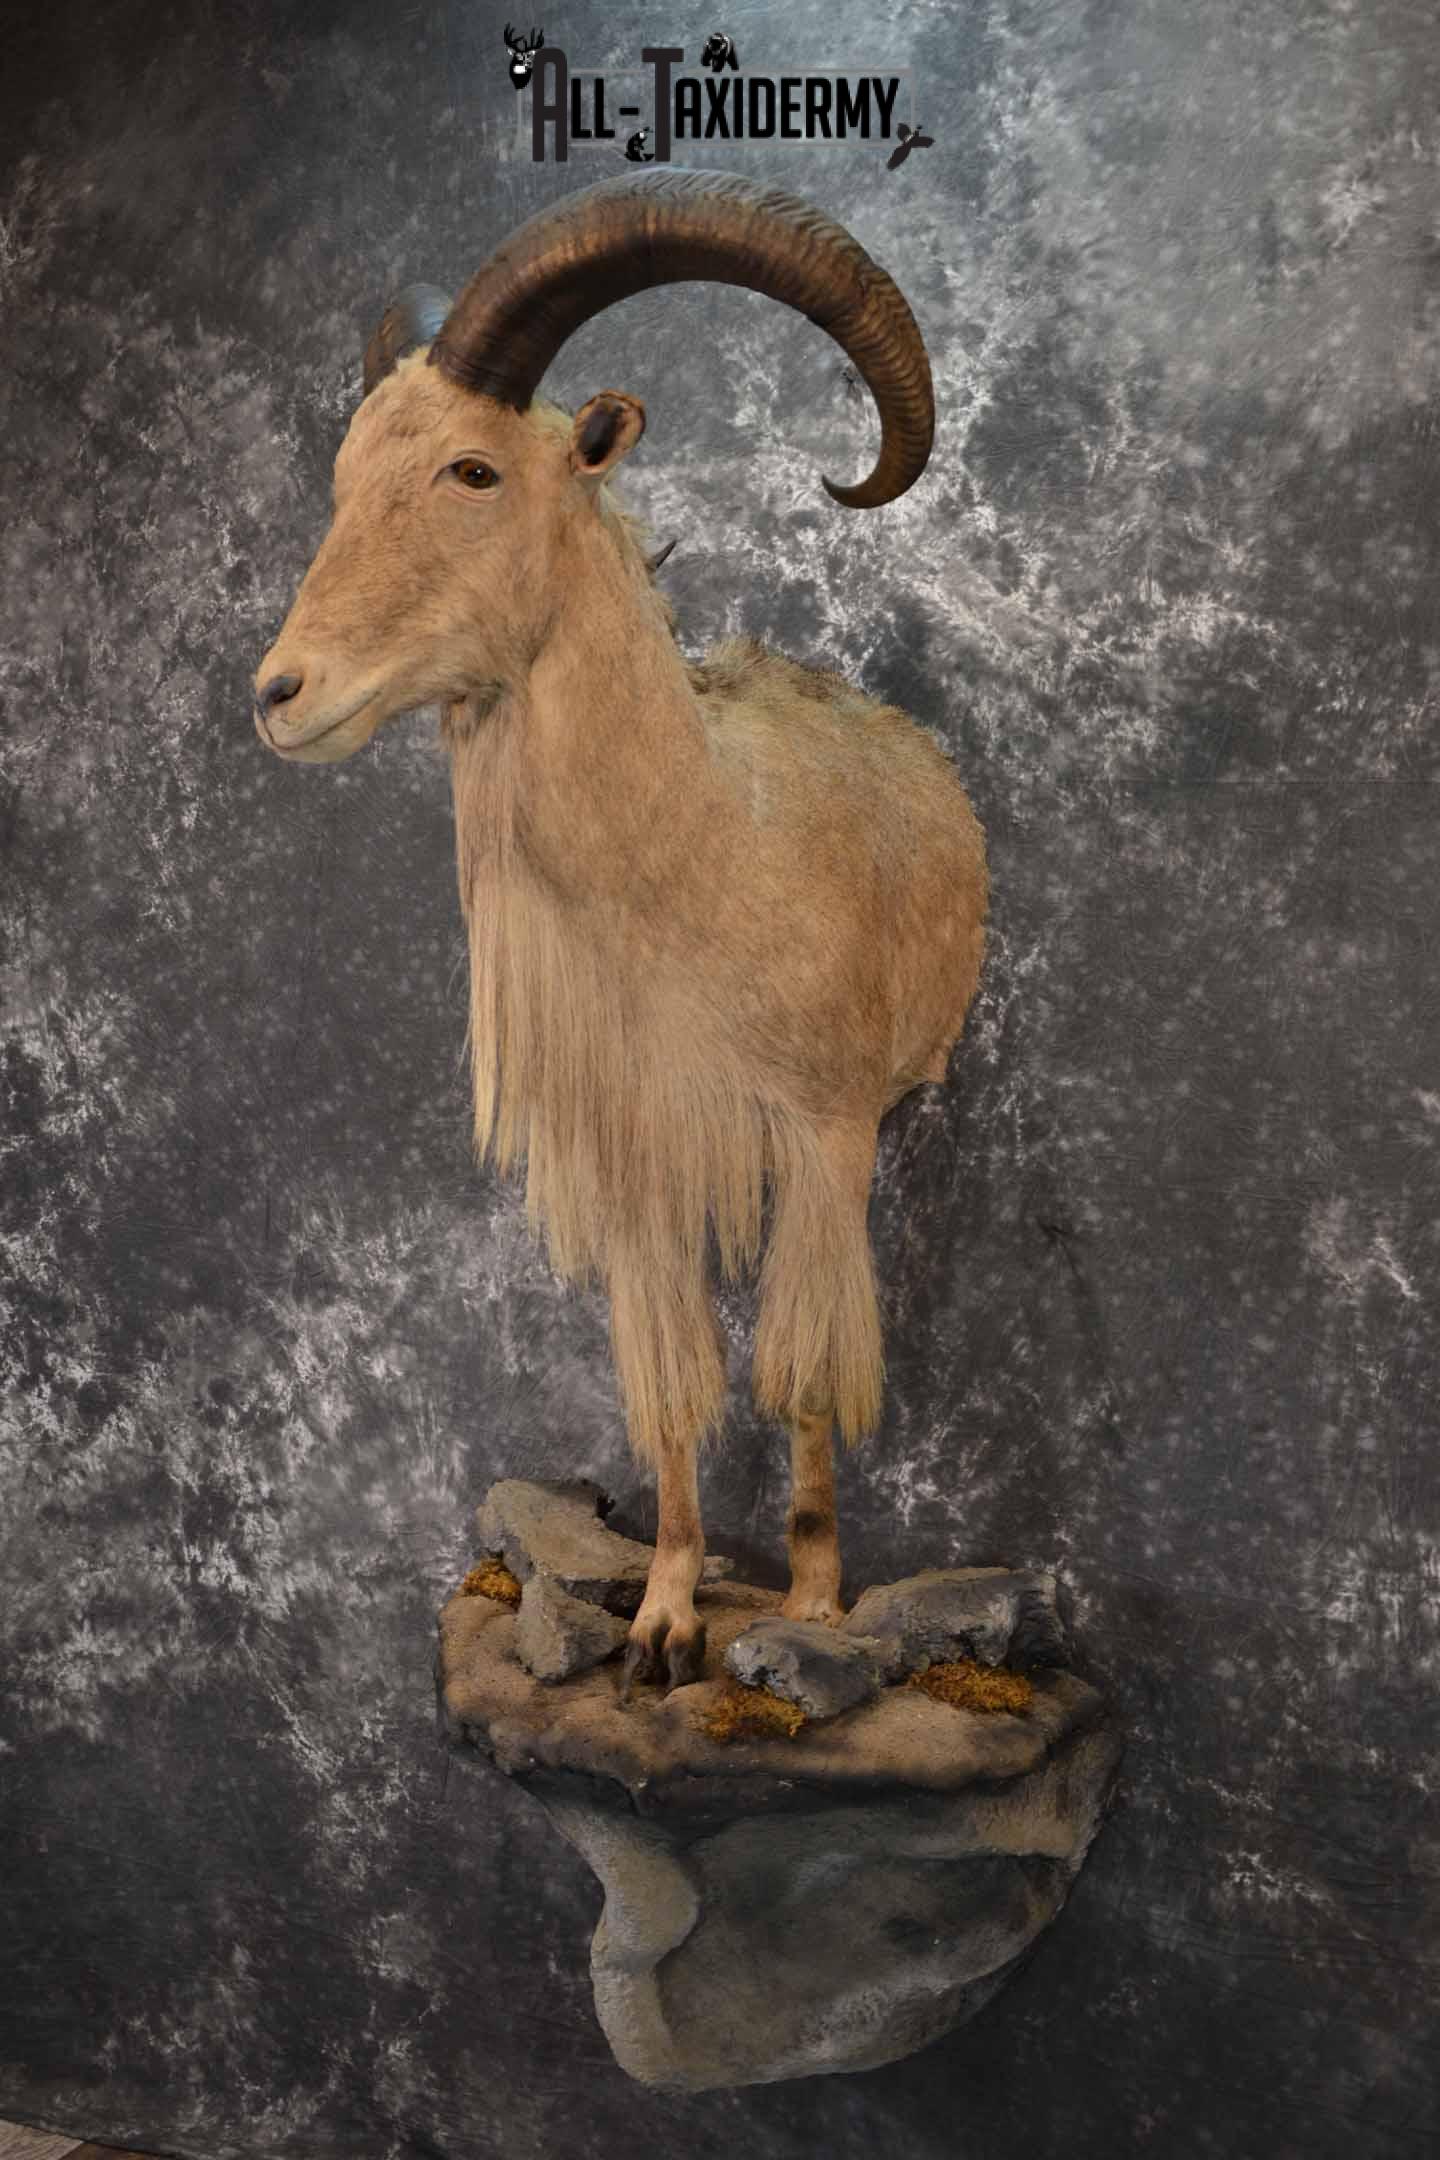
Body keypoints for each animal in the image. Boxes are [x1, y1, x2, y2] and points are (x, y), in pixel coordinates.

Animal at [252, 168, 988, 1694]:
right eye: (346, 477)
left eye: (473, 472)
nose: (283, 693)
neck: (705, 860)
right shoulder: (643, 1171)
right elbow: (672, 1387)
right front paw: (660, 1625)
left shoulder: (825, 1142)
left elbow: (802, 1374)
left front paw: (811, 1609)